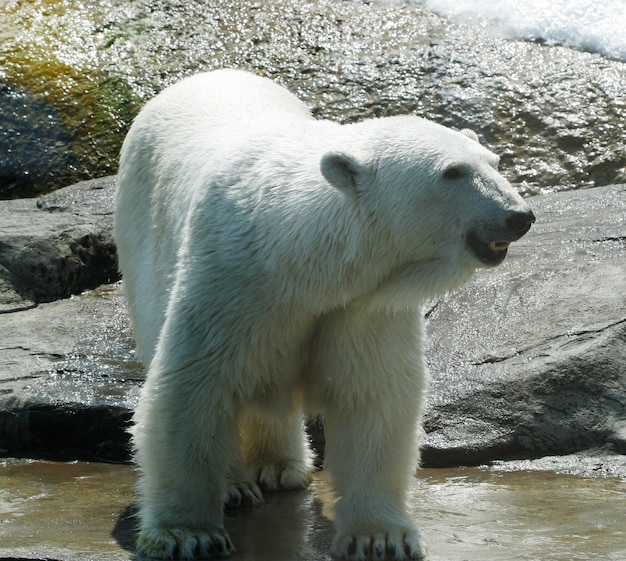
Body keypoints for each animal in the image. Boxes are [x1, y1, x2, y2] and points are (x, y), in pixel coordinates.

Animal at [112, 70, 532, 560]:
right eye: (452, 172)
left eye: (494, 161)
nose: (519, 216)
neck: (298, 255)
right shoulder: (230, 280)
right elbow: (192, 388)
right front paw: (186, 534)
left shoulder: (361, 307)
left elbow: (373, 395)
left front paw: (380, 537)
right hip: (142, 234)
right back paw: (235, 484)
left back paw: (280, 466)